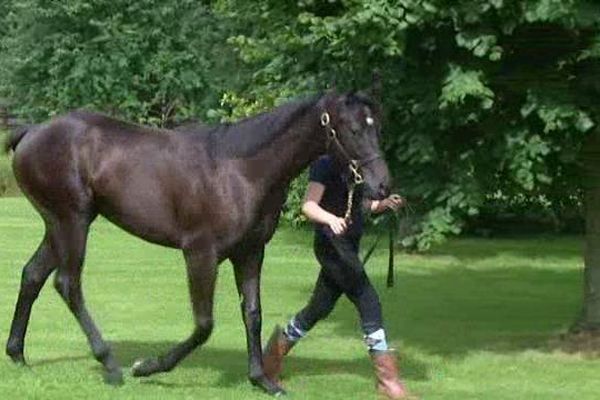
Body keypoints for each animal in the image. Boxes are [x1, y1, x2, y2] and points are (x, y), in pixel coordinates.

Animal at [3, 87, 390, 394]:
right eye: (354, 129)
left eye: (377, 126)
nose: (383, 186)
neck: (241, 171)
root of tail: (31, 133)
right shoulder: (201, 254)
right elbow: (204, 325)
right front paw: (148, 366)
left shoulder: (250, 253)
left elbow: (252, 313)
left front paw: (262, 380)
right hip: (72, 221)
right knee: (68, 284)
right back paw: (111, 365)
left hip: (60, 224)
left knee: (32, 275)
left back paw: (18, 355)